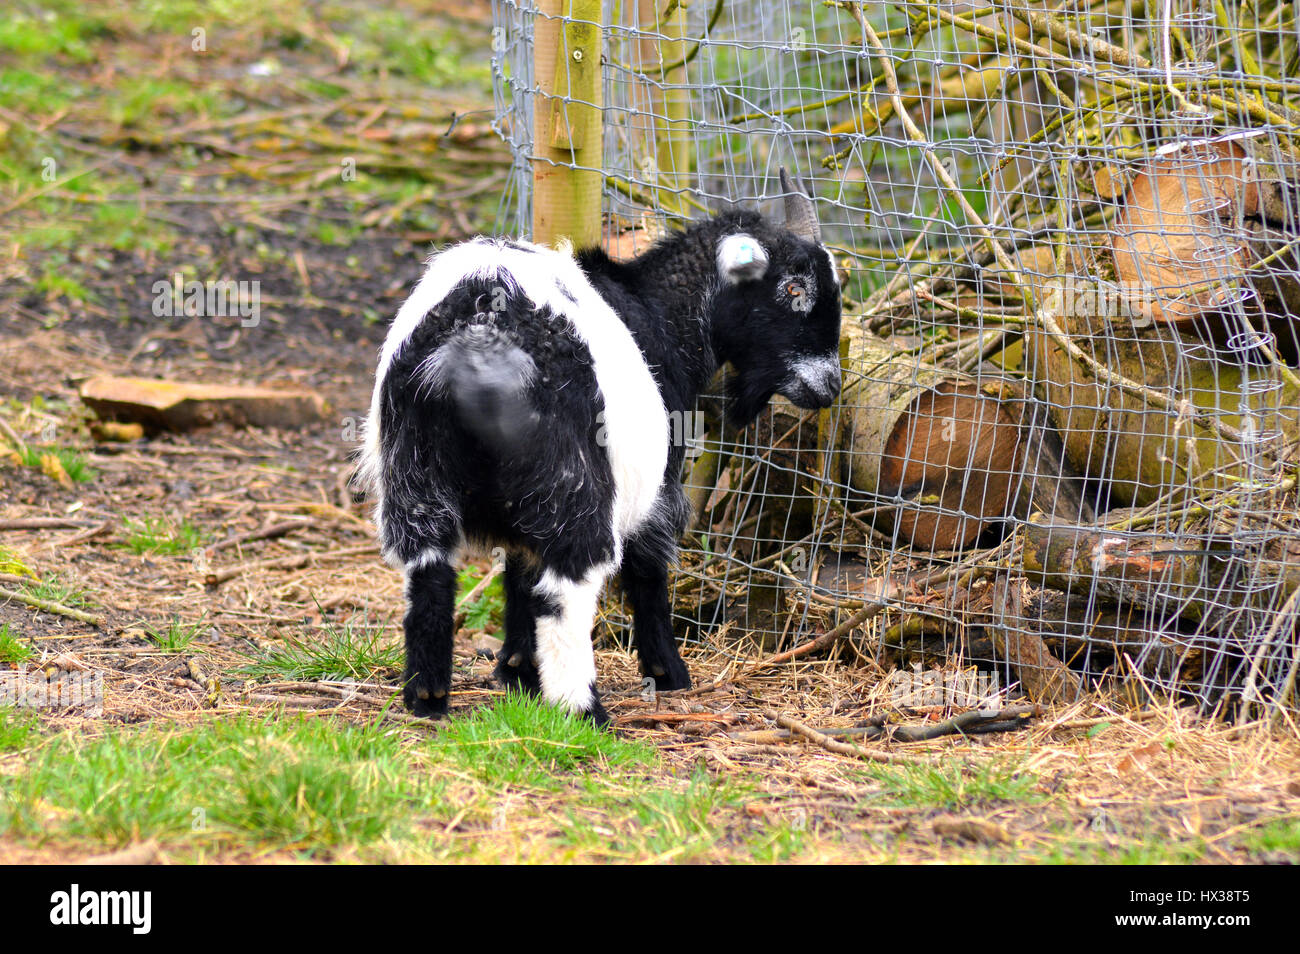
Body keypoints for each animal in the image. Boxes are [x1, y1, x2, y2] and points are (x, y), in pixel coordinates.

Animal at [357, 171, 842, 723]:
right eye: (794, 288)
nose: (830, 386)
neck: (659, 311)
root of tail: (483, 330)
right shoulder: (658, 489)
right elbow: (647, 572)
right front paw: (668, 674)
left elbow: (519, 569)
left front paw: (518, 672)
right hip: (574, 475)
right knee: (567, 581)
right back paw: (583, 708)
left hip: (415, 465)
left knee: (429, 568)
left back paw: (427, 695)